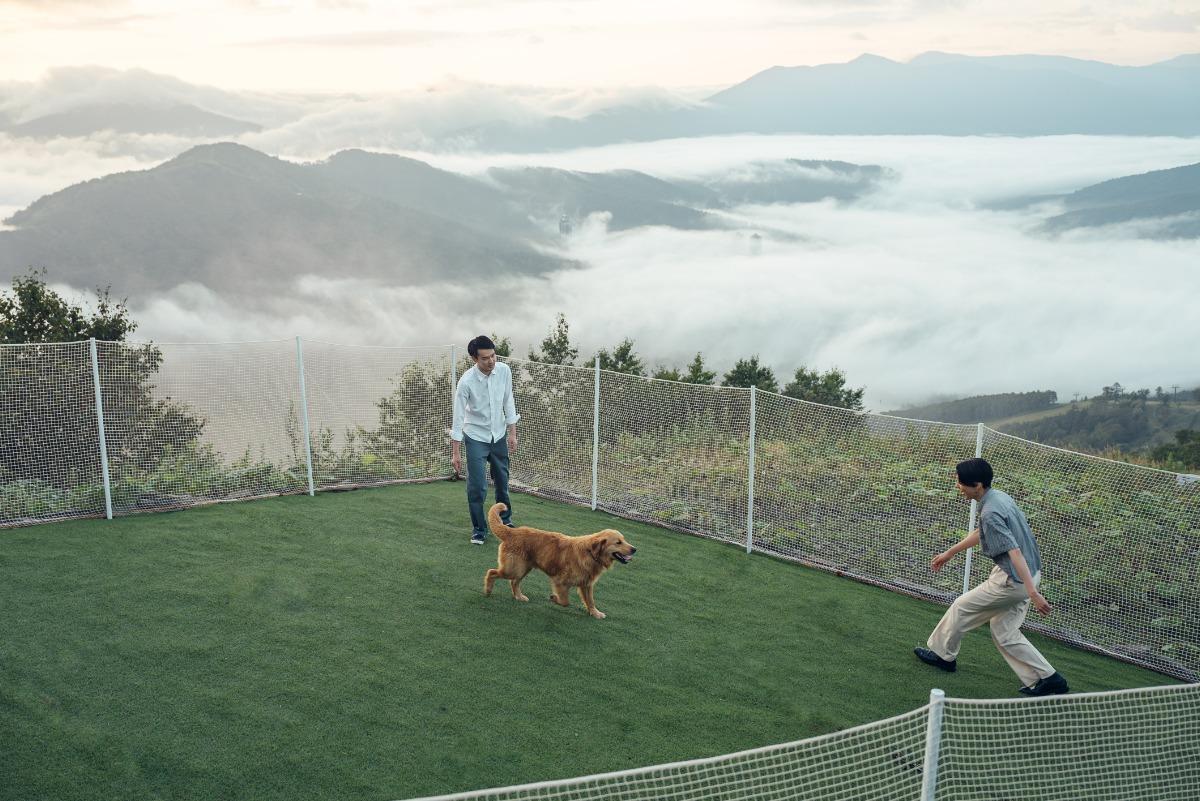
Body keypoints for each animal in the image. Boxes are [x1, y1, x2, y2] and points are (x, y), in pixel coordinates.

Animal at [484, 501, 643, 618]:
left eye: (624, 540)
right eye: (618, 542)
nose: (635, 549)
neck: (590, 553)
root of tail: (512, 531)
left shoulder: (586, 585)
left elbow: (590, 601)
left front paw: (595, 613)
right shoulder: (560, 582)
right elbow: (566, 602)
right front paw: (554, 598)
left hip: (523, 568)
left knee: (513, 582)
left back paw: (519, 596)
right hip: (514, 569)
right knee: (491, 572)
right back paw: (488, 590)